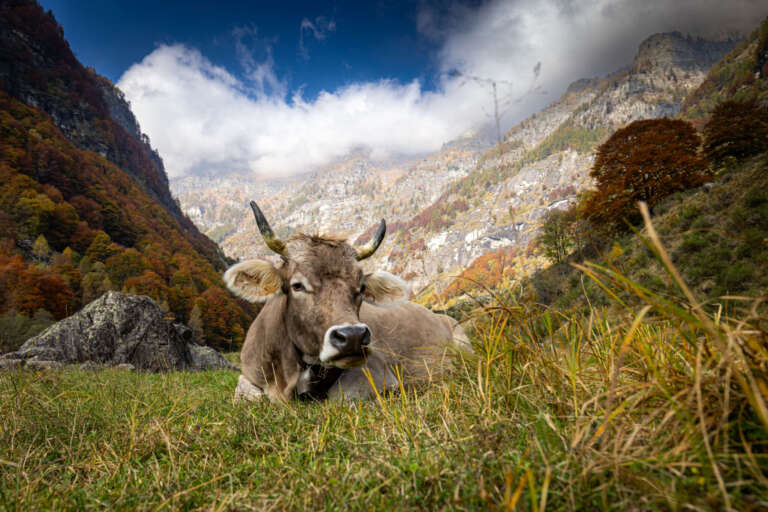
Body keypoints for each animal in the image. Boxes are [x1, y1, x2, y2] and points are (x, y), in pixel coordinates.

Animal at [224, 201, 470, 403]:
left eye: (361, 287)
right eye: (297, 285)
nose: (353, 336)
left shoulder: (378, 372)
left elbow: (341, 397)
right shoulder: (249, 375)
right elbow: (244, 394)